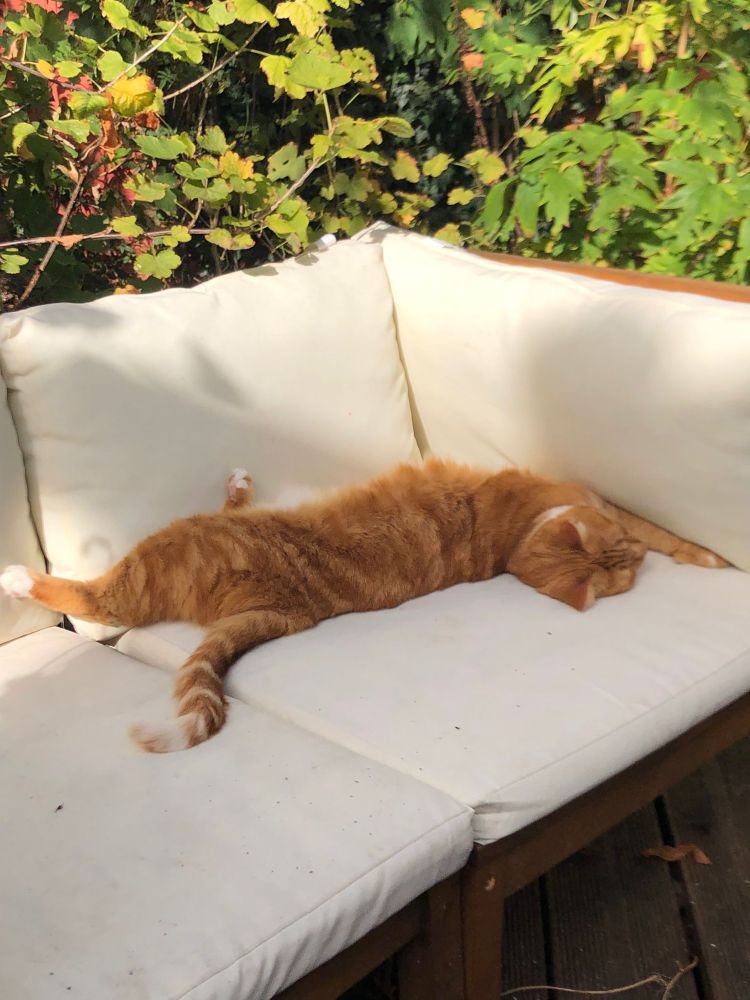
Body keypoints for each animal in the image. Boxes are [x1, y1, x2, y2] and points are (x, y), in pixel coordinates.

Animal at [0, 459, 726, 753]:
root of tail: (294, 609)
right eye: (617, 558)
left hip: (173, 544)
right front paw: (707, 555)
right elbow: (661, 528)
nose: (627, 554)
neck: (512, 542)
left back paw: (20, 578)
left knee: (102, 597)